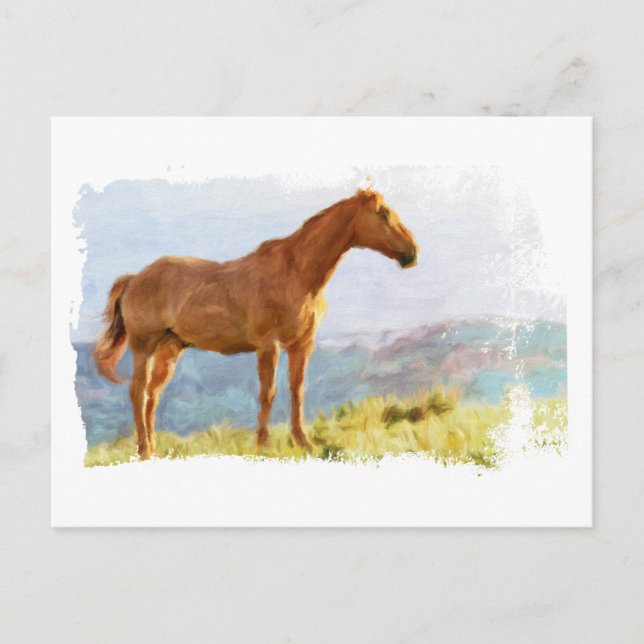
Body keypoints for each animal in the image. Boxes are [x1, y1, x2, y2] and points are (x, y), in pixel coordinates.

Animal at [94, 188, 419, 459]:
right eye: (383, 214)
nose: (412, 253)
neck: (295, 273)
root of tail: (134, 278)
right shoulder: (268, 345)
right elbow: (268, 393)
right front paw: (262, 444)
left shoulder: (302, 345)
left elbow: (297, 391)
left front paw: (303, 442)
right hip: (143, 346)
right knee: (138, 392)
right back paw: (144, 450)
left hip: (170, 348)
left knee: (153, 396)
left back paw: (154, 448)